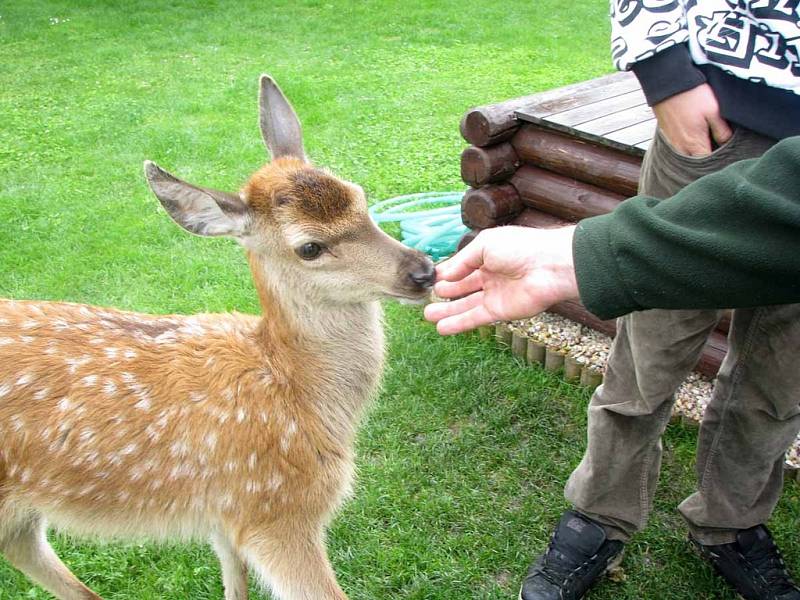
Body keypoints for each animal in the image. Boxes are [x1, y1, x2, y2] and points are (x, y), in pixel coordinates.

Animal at [0, 76, 434, 600]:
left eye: (360, 197)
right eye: (309, 247)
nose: (423, 271)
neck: (295, 390)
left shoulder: (226, 515)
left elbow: (234, 583)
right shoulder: (273, 509)